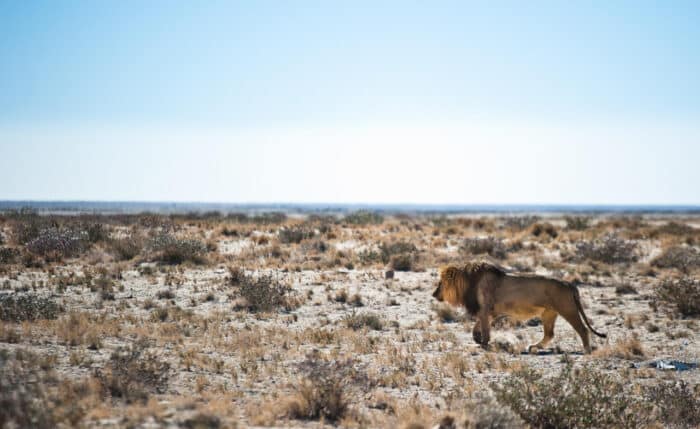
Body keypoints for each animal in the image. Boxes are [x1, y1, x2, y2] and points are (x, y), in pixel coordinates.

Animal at [430, 260, 604, 352]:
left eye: (440, 283)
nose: (433, 294)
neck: (467, 283)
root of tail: (569, 284)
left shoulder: (485, 310)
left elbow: (484, 329)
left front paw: (483, 344)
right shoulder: (489, 312)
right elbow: (477, 326)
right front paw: (477, 339)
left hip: (568, 309)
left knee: (583, 329)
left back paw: (586, 349)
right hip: (548, 313)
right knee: (549, 334)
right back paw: (533, 347)